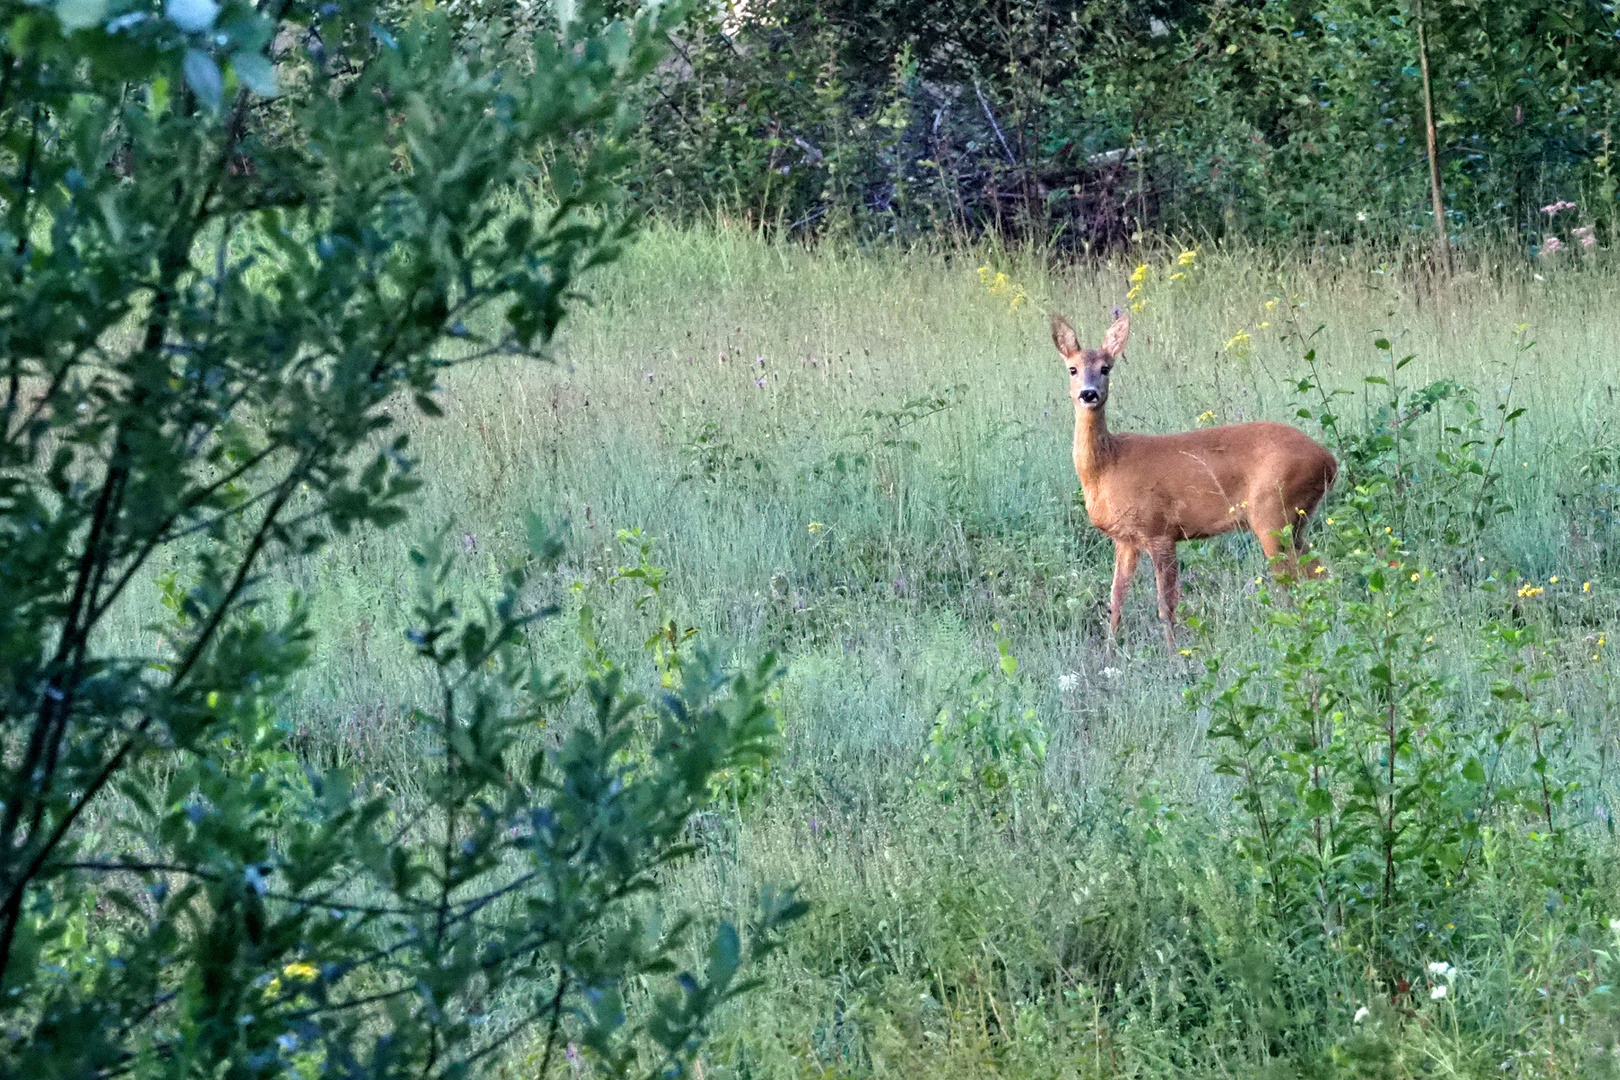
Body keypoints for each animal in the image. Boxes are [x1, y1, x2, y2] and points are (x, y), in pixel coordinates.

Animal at [1049, 314, 1341, 650]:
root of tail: (1329, 460)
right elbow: (1116, 600)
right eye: (1072, 368)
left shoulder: (1159, 529)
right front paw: (1111, 650)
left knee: (1292, 582)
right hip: (1294, 522)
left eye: (1105, 368)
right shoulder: (1125, 539)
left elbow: (1166, 604)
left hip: (1273, 513)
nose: (1089, 394)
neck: (1107, 467)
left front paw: (1174, 653)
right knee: (1321, 573)